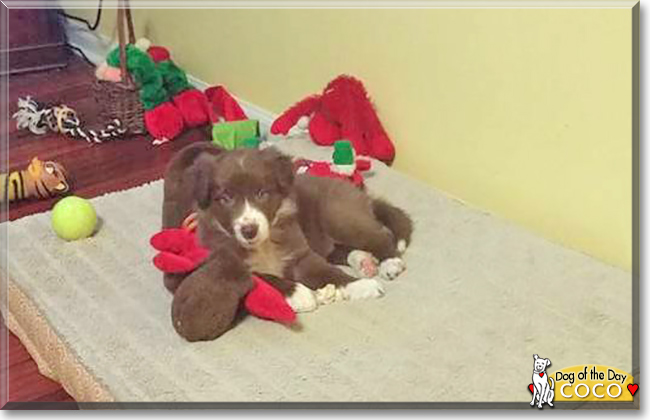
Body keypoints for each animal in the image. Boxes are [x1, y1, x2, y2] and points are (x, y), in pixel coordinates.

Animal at [161, 142, 410, 316]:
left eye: (262, 193)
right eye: (225, 198)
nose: (249, 231)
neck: (263, 245)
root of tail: (359, 193)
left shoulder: (300, 254)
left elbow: (329, 272)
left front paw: (359, 285)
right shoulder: (224, 261)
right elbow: (263, 277)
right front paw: (299, 294)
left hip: (339, 217)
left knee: (378, 236)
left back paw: (390, 262)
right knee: (338, 250)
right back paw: (364, 261)